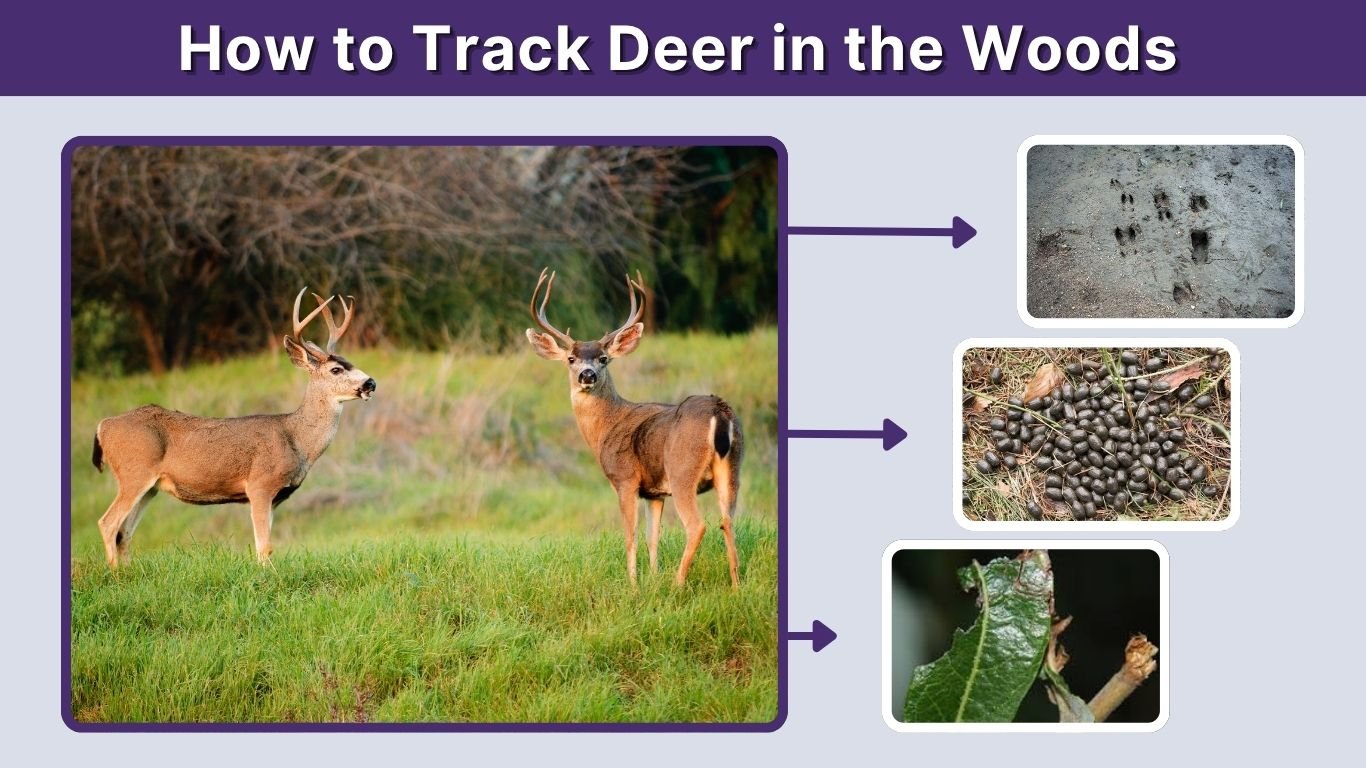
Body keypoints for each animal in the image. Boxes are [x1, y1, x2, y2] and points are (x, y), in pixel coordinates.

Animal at [90, 288, 377, 569]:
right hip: (134, 472)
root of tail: (103, 426)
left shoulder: (276, 497)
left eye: (350, 363)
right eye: (336, 369)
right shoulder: (260, 484)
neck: (296, 439)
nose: (370, 383)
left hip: (150, 486)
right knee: (108, 523)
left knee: (125, 532)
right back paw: (115, 574)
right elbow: (264, 547)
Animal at [525, 268, 743, 588]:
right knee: (728, 521)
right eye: (570, 359)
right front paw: (652, 579)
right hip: (732, 467)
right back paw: (736, 586)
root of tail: (720, 411)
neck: (607, 426)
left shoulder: (625, 479)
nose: (587, 375)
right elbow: (654, 537)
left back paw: (677, 585)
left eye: (604, 358)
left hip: (682, 470)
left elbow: (631, 537)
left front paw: (634, 585)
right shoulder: (654, 492)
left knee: (697, 525)